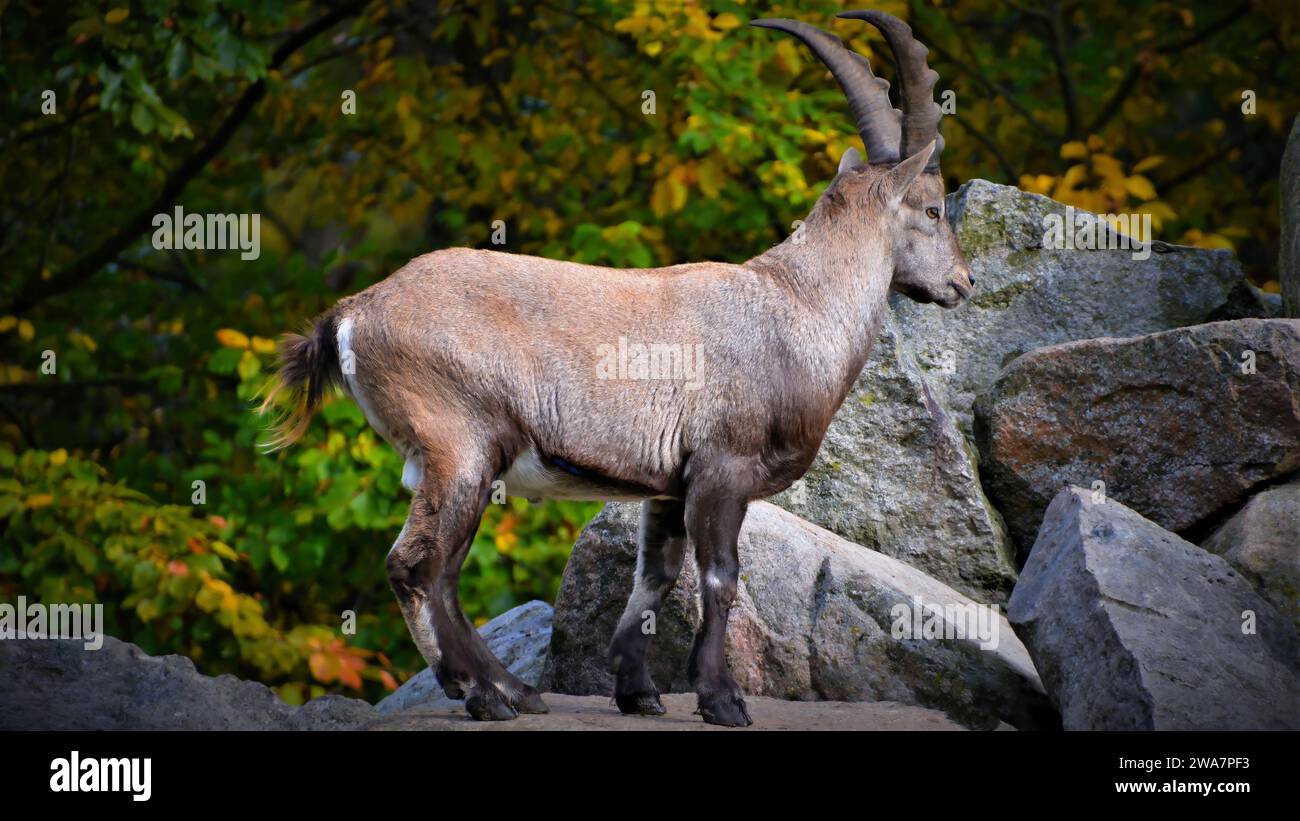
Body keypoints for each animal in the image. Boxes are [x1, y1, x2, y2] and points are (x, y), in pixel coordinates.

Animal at [260, 10, 972, 727]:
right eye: (934, 209)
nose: (963, 283)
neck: (798, 304)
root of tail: (353, 312)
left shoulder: (669, 485)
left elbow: (655, 577)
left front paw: (638, 690)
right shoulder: (723, 469)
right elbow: (719, 577)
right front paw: (722, 698)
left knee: (442, 573)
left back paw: (507, 689)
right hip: (460, 448)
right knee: (417, 567)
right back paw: (488, 693)